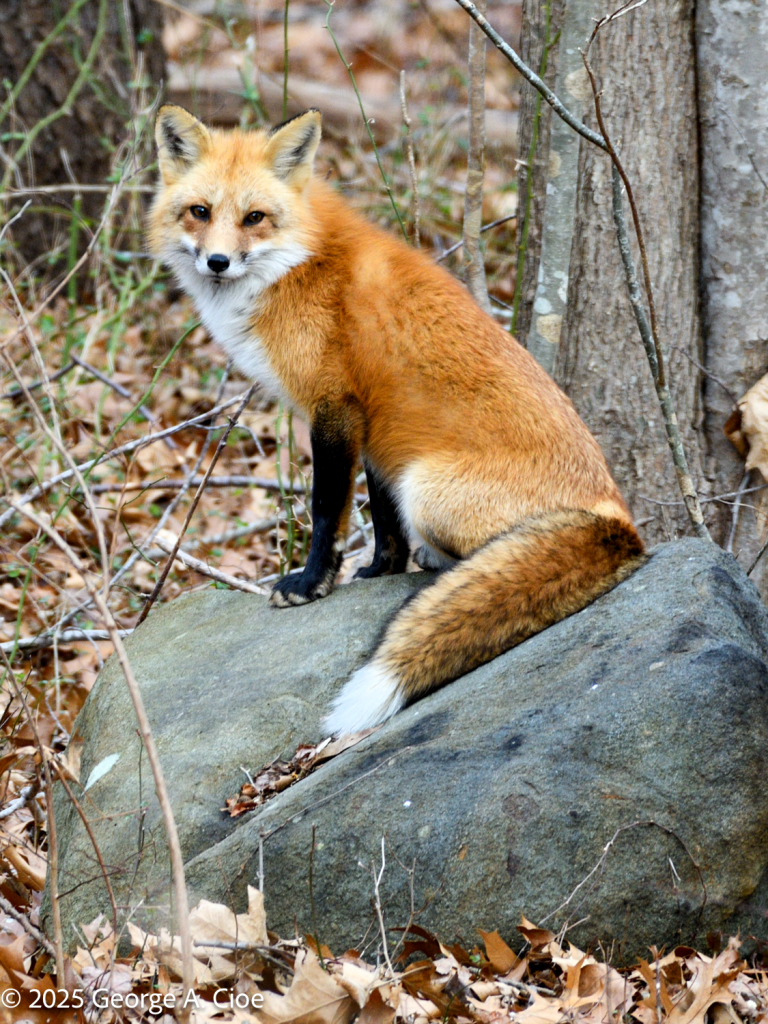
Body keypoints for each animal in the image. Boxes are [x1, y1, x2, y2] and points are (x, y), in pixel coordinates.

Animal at [148, 104, 646, 736]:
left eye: (254, 218)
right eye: (200, 212)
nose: (217, 261)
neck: (299, 263)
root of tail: (621, 525)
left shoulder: (334, 408)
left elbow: (327, 511)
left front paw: (311, 584)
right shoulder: (377, 427)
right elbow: (382, 519)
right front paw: (380, 572)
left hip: (427, 488)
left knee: (490, 555)